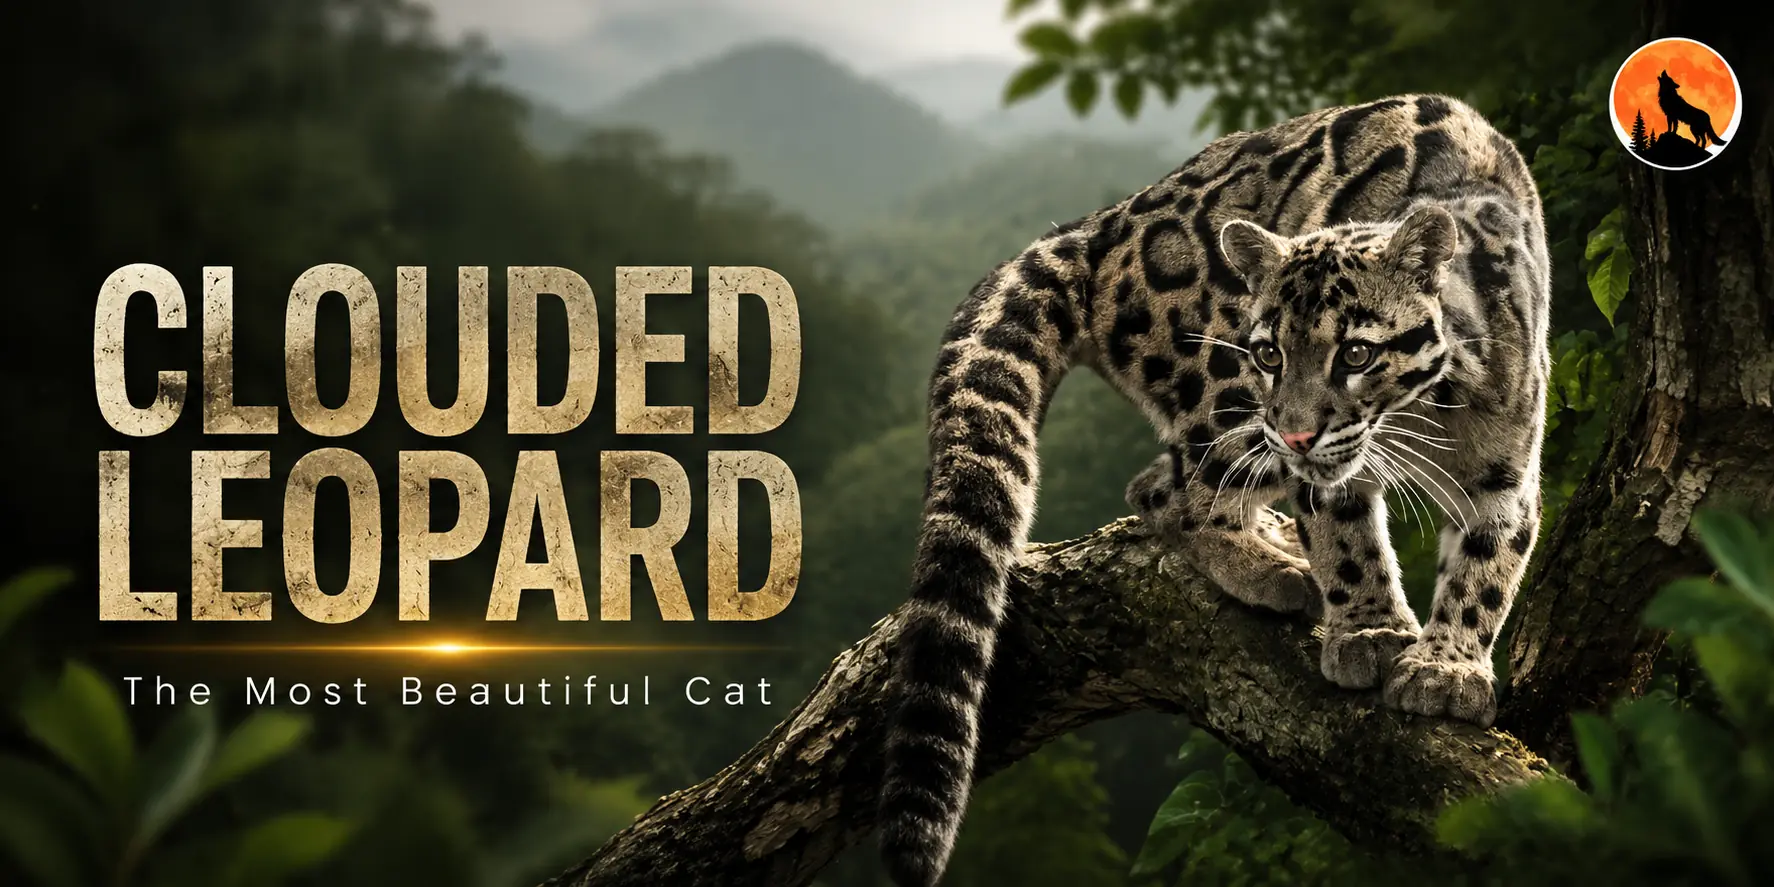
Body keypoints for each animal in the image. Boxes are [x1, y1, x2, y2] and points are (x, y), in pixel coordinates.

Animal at [878, 94, 1551, 887]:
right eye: (1270, 352)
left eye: (1355, 352)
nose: (1296, 431)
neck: (1432, 407)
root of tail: (1112, 218)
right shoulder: (1321, 466)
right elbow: (1348, 539)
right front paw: (1372, 631)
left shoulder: (1508, 470)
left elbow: (1486, 568)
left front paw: (1447, 666)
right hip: (1222, 400)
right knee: (1174, 491)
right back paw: (1271, 568)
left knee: (1163, 484)